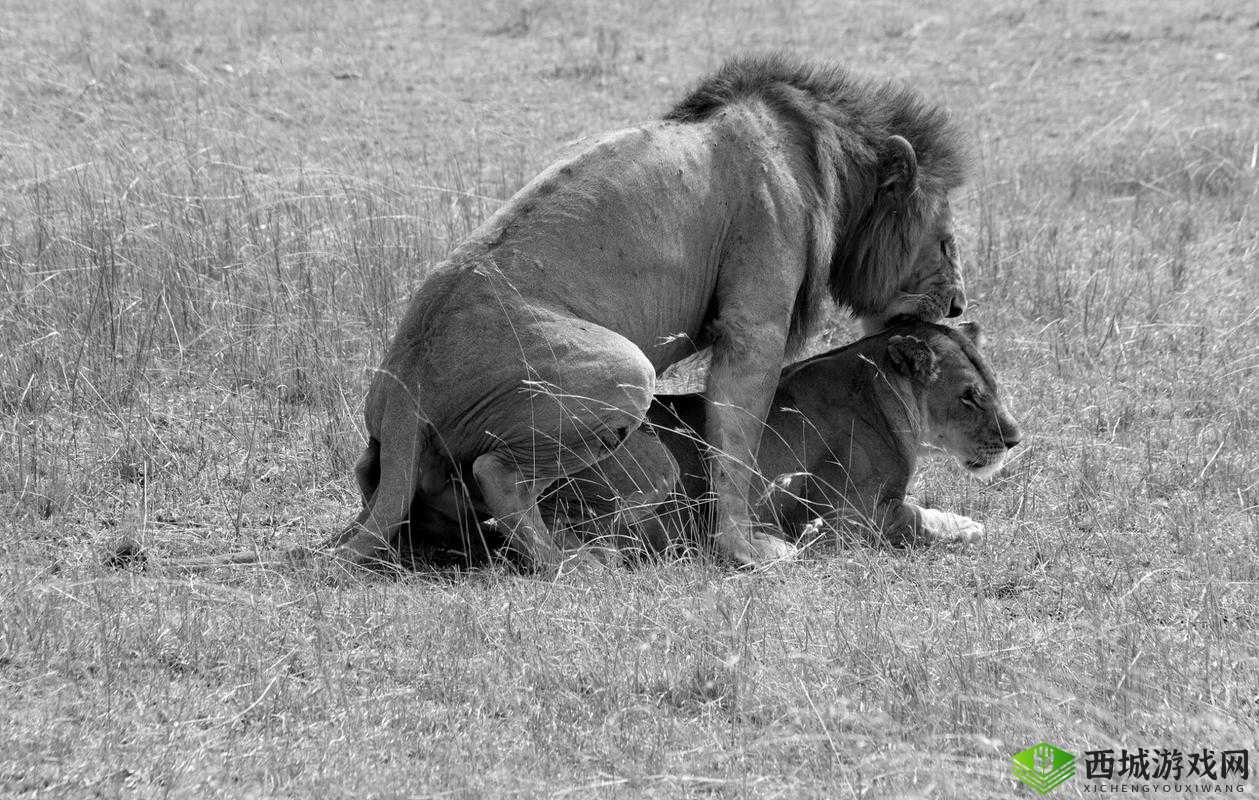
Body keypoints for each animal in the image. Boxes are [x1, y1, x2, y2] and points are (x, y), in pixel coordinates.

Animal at [332, 54, 961, 569]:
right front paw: (744, 549)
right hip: (626, 369)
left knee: (379, 479)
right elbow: (736, 444)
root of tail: (409, 378)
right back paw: (568, 562)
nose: (958, 304)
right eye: (948, 243)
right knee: (496, 472)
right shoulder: (754, 323)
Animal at [551, 316, 1022, 554]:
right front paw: (967, 526)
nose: (1015, 440)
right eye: (969, 397)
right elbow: (922, 519)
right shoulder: (850, 516)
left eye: (994, 386)